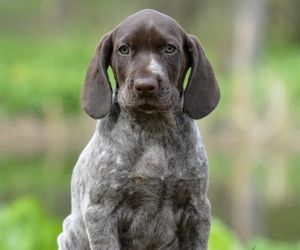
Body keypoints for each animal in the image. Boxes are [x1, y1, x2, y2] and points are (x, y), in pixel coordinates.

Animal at [57, 8, 219, 250]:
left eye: (169, 48)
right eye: (124, 50)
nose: (145, 85)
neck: (154, 130)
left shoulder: (198, 209)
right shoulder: (100, 213)